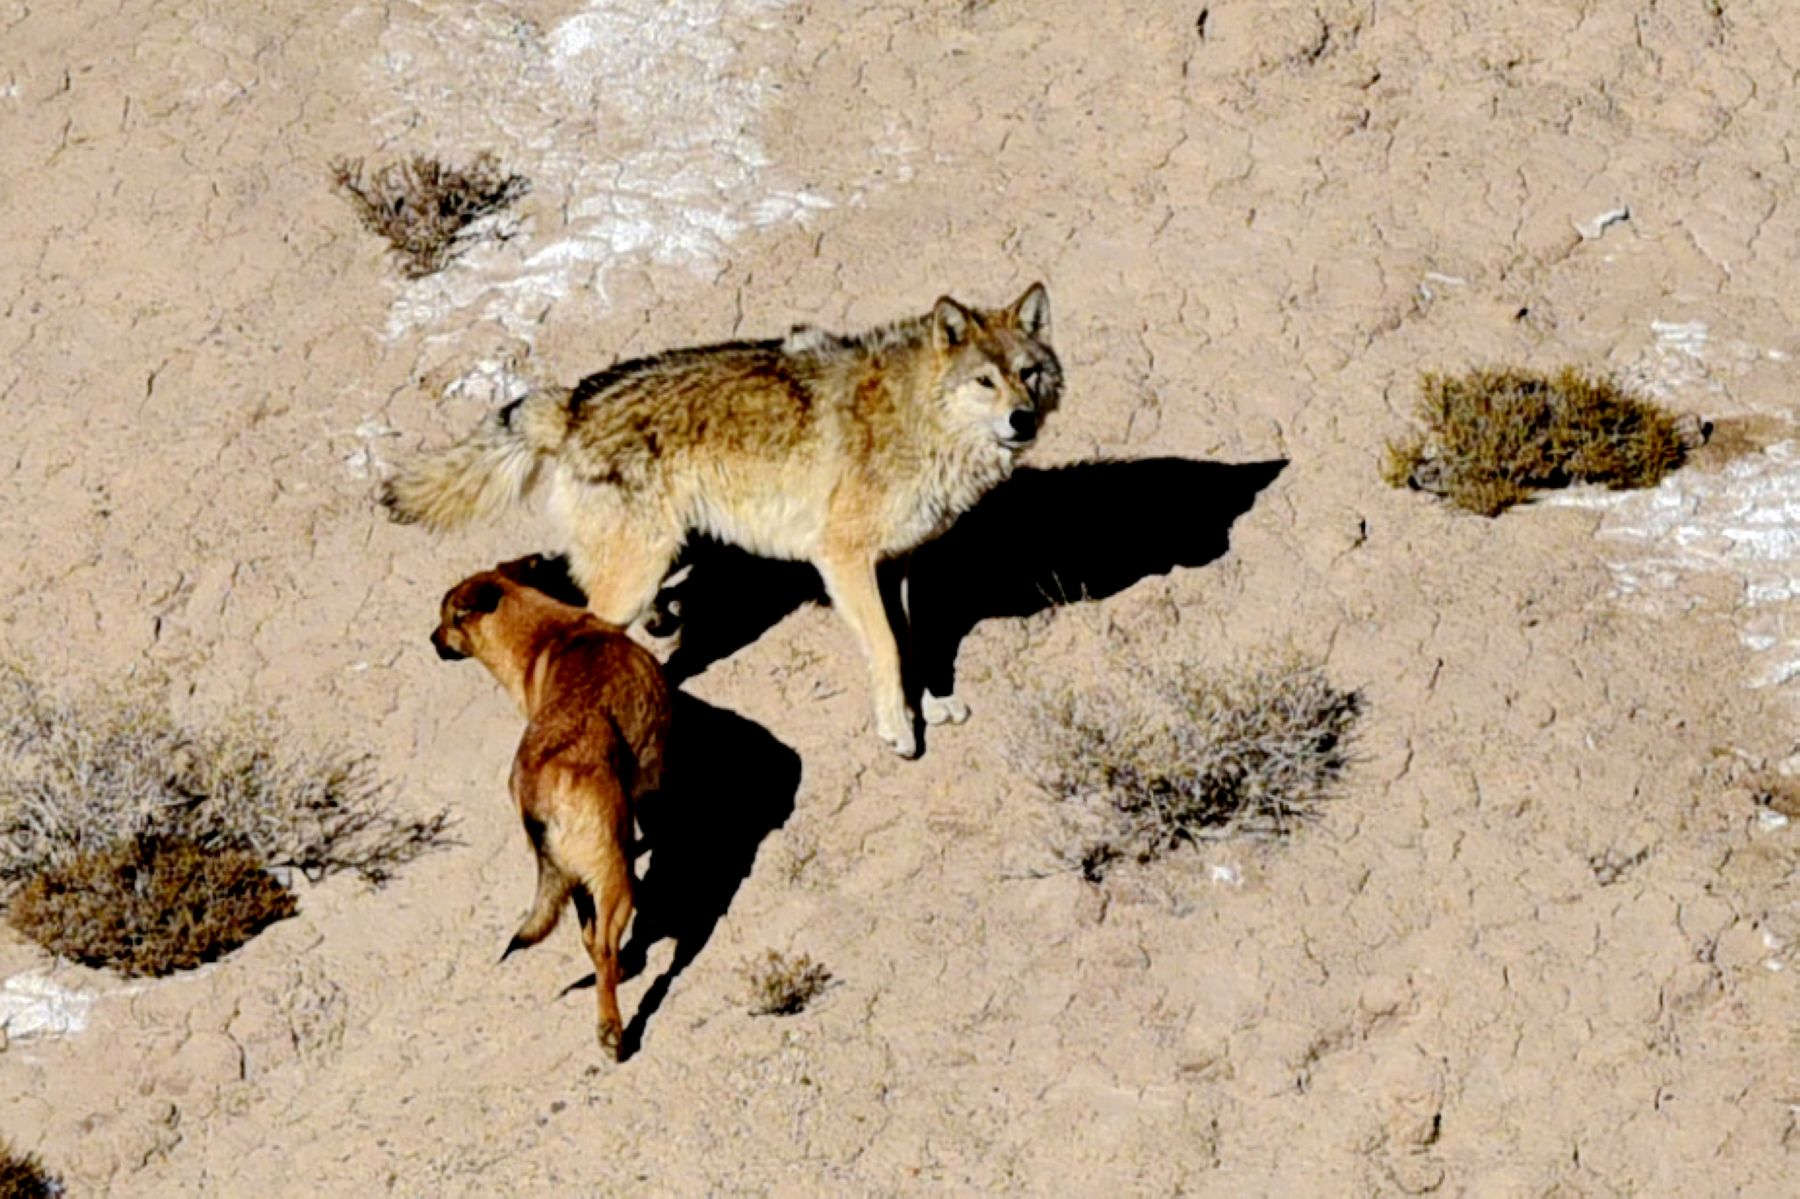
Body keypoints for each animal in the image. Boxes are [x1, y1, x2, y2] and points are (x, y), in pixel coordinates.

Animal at [387, 284, 1058, 752]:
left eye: (1029, 374)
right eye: (985, 382)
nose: (1022, 419)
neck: (918, 417)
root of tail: (574, 401)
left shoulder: (896, 564)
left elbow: (910, 643)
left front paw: (932, 707)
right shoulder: (842, 561)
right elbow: (888, 650)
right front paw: (899, 729)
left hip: (665, 553)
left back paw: (662, 618)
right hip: (635, 575)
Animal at [432, 554, 673, 1058]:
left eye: (446, 620)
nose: (432, 641)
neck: (551, 632)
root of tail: (536, 793)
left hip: (575, 876)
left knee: (592, 939)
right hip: (609, 874)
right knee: (604, 943)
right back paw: (612, 1028)